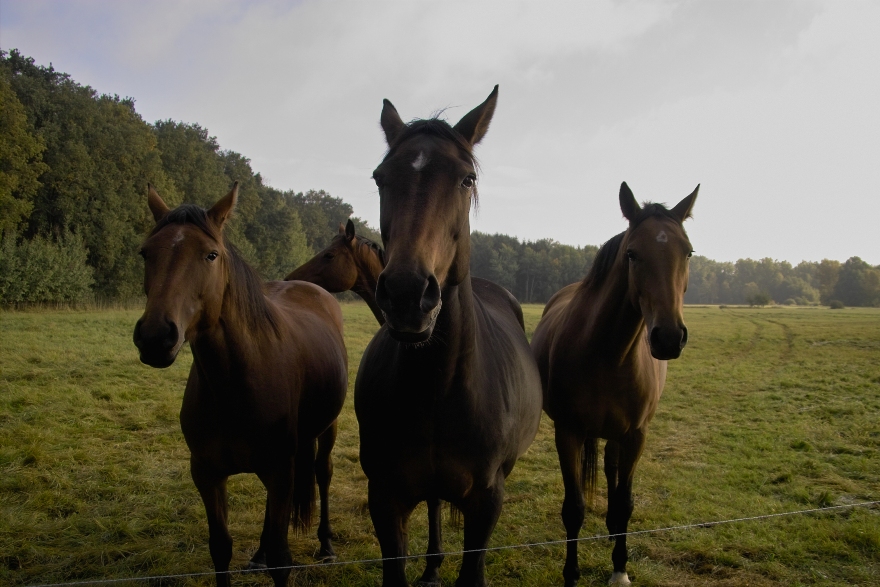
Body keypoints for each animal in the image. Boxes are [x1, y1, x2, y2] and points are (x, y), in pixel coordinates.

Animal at [134, 185, 348, 587]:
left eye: (211, 254)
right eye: (145, 252)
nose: (155, 336)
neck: (234, 384)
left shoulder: (281, 470)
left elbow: (282, 558)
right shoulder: (207, 473)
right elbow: (221, 548)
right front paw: (255, 554)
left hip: (326, 429)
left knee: (323, 473)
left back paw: (326, 545)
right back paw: (259, 554)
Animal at [352, 87, 544, 587]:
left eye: (465, 179)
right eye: (380, 178)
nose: (406, 293)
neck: (440, 387)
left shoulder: (486, 501)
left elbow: (472, 569)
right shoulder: (384, 497)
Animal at [532, 184, 696, 587]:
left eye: (687, 252)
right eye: (632, 254)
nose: (669, 338)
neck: (609, 354)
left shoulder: (636, 435)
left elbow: (624, 502)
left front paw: (620, 568)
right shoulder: (568, 432)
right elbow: (573, 508)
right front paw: (571, 574)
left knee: (612, 469)